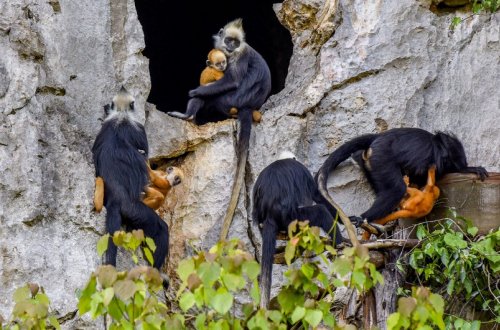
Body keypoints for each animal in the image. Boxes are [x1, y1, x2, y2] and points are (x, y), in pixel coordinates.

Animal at [90, 87, 168, 270]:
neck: (121, 115)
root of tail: (116, 200)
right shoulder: (139, 128)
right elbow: (145, 156)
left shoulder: (105, 128)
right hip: (134, 211)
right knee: (161, 230)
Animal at [168, 18, 272, 240]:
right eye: (228, 40)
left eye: (235, 42)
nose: (230, 46)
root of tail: (248, 106)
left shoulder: (239, 56)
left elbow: (231, 80)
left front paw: (194, 91)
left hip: (228, 100)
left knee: (210, 94)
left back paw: (189, 115)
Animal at [252, 153, 342, 308]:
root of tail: (270, 214)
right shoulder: (302, 170)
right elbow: (317, 196)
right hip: (293, 219)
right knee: (320, 211)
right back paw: (342, 243)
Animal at [316, 127, 488, 227]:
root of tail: (378, 138)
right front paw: (469, 168)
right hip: (381, 158)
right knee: (396, 189)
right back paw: (364, 218)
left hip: (372, 162)